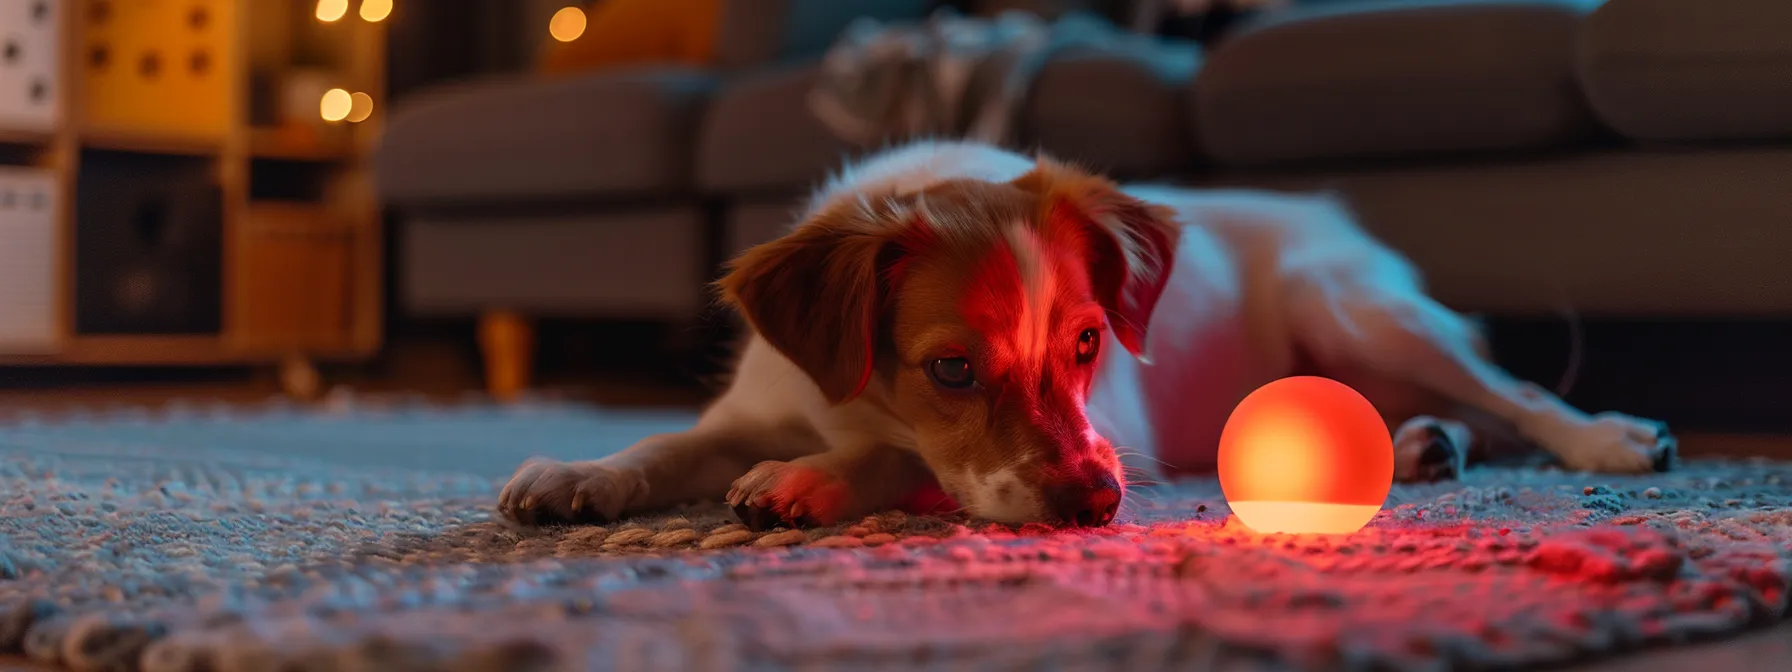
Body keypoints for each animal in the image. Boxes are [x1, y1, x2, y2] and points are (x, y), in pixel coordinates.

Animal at [494, 142, 1677, 530]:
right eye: (951, 368)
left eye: (1087, 345)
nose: (1097, 504)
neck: (855, 399)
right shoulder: (751, 405)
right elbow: (663, 445)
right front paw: (576, 474)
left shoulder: (1116, 432)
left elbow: (888, 459)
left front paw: (808, 480)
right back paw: (1428, 445)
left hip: (1344, 304)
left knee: (1518, 397)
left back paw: (1612, 438)